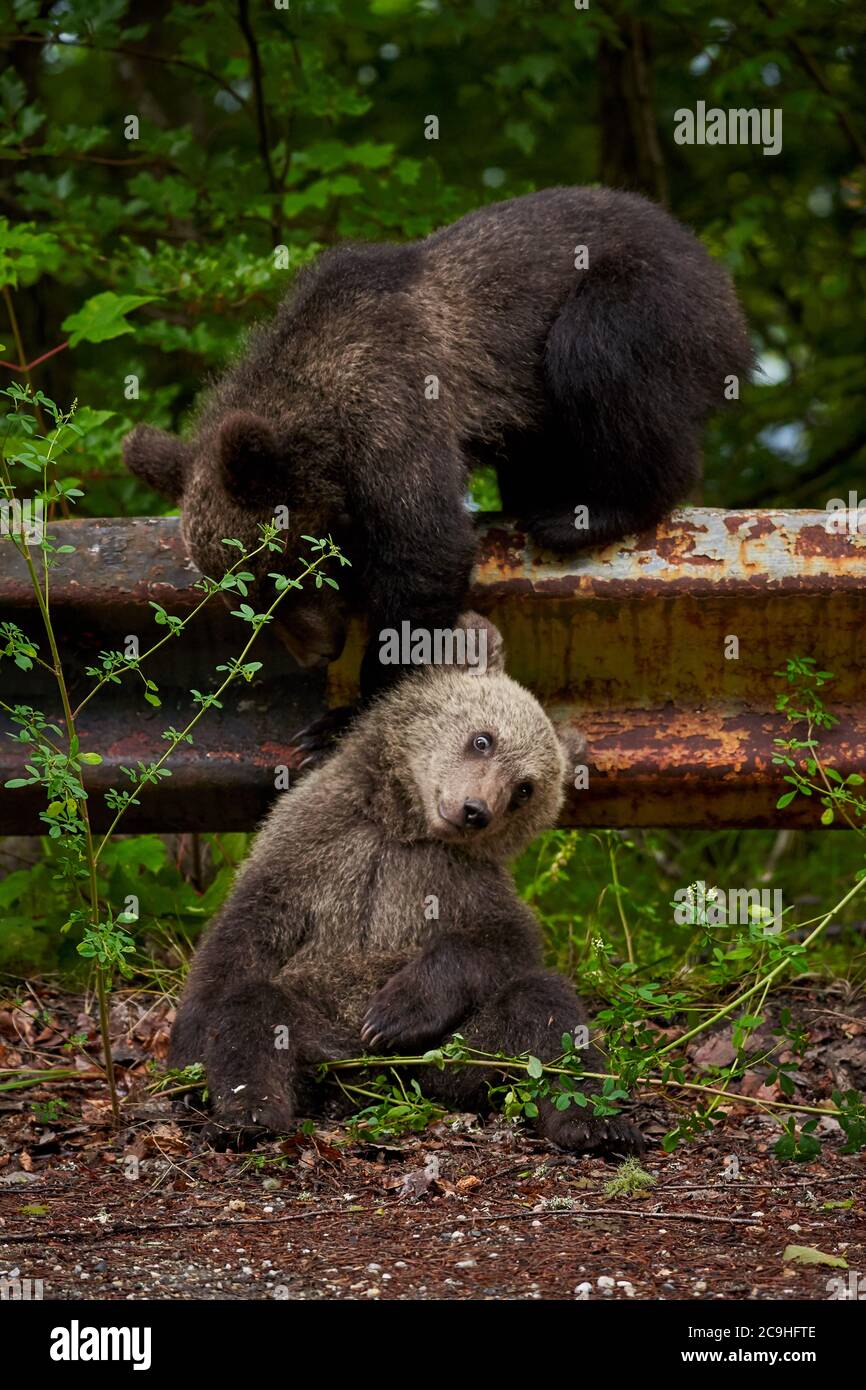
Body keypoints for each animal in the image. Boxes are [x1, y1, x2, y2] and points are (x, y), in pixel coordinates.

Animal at [124, 186, 750, 735]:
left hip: (640, 297)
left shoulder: (394, 404)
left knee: (594, 355)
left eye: (274, 577)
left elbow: (426, 552)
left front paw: (341, 722)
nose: (315, 654)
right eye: (236, 596)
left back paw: (585, 515)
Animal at [169, 614, 642, 1156]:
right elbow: (240, 940)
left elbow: (504, 942)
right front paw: (186, 1063)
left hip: (449, 1060)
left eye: (526, 789)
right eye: (483, 739)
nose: (475, 810)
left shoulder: (458, 879)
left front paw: (394, 1013)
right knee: (254, 1010)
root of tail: (369, 1083)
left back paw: (597, 1124)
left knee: (543, 1007)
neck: (403, 826)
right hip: (320, 1032)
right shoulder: (313, 847)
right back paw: (247, 1116)